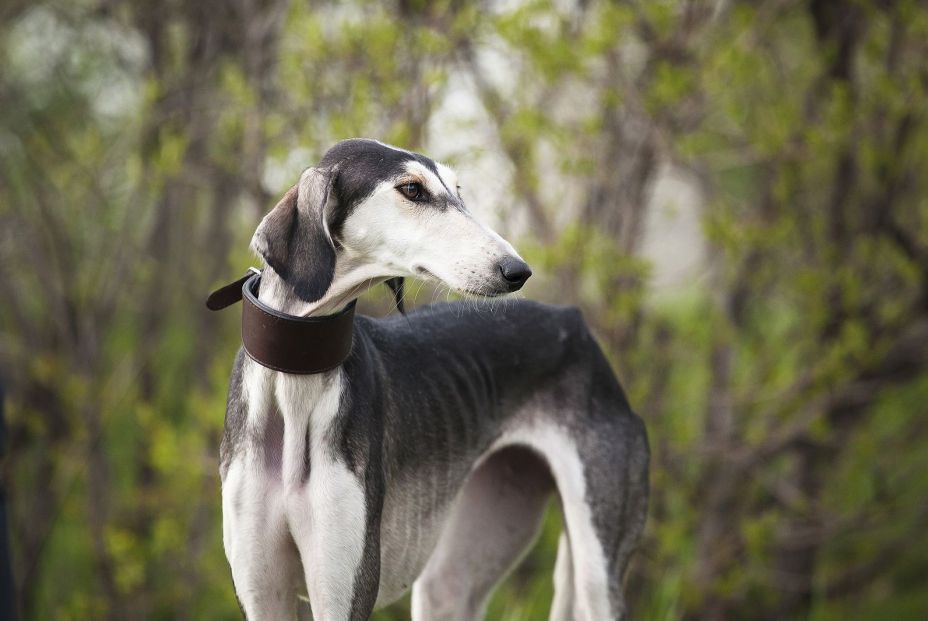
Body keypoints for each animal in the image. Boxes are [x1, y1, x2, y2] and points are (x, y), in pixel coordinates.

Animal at [218, 138, 648, 616]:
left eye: (457, 189)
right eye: (412, 190)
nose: (517, 270)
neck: (298, 375)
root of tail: (575, 324)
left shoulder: (344, 591)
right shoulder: (262, 593)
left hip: (596, 572)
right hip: (455, 572)